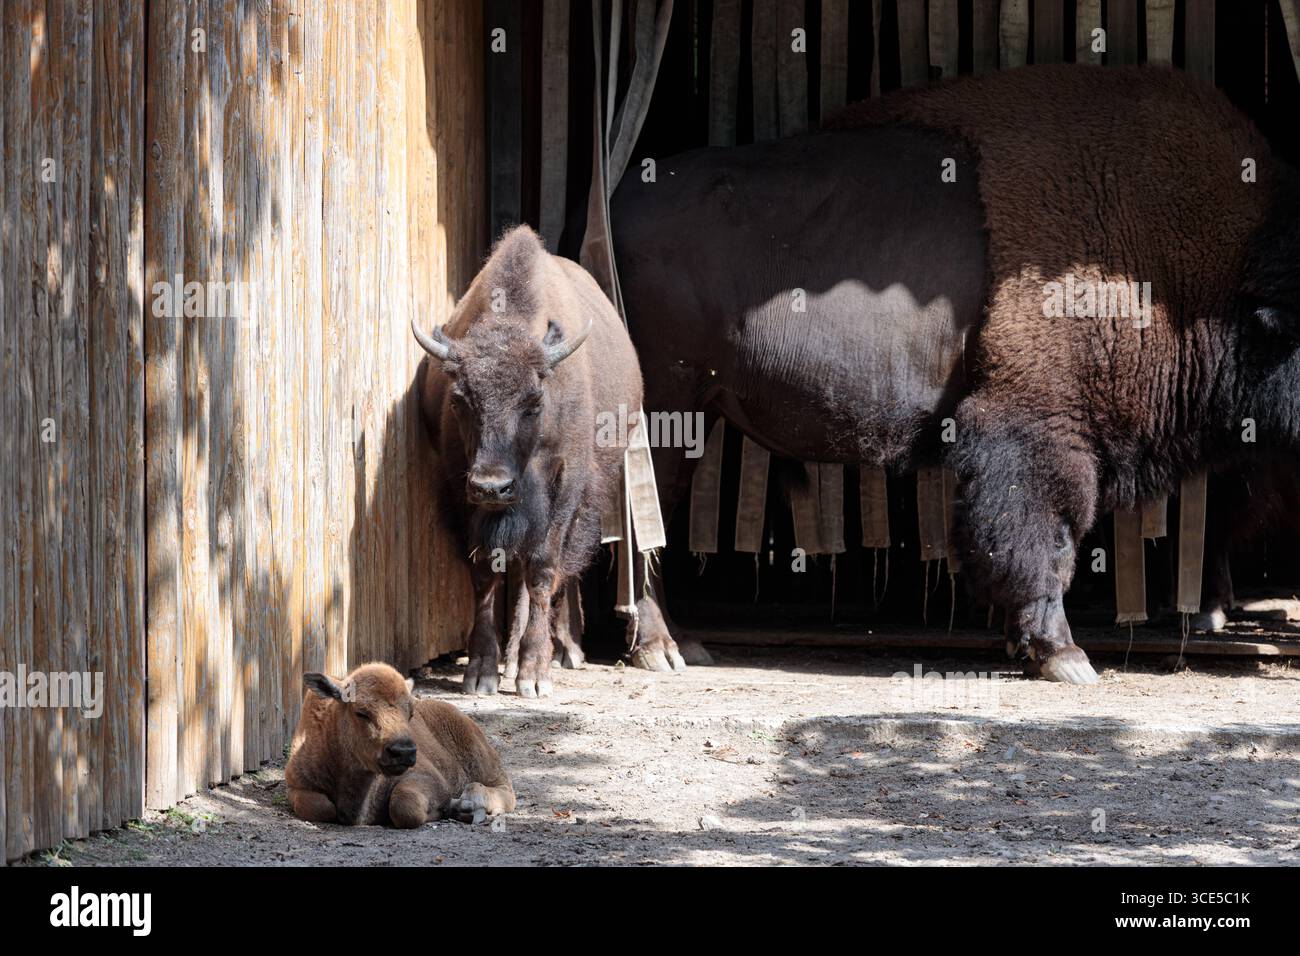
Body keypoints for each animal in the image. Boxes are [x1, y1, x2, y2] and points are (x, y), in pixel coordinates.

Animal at [613, 65, 1300, 683]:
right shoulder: (1042, 434)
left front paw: (1024, 646)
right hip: (667, 411)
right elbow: (1046, 543)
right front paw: (1063, 657)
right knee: (647, 512)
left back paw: (683, 643)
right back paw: (661, 649)